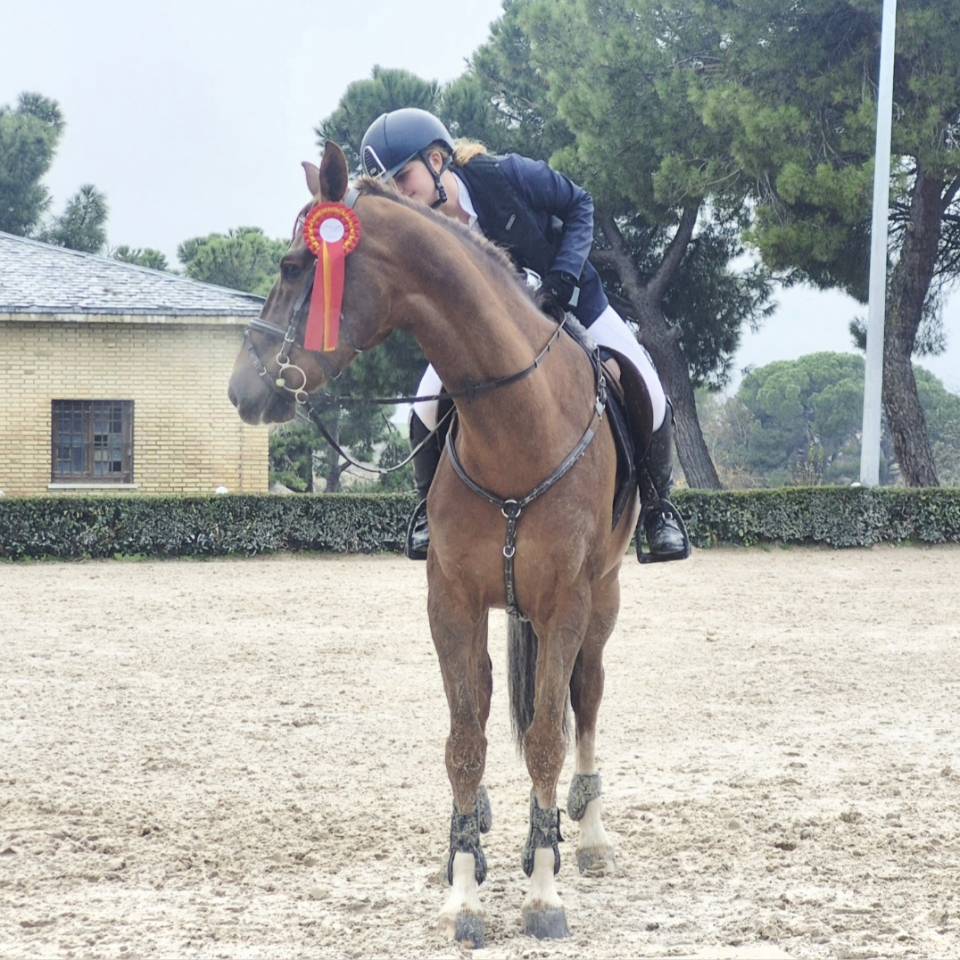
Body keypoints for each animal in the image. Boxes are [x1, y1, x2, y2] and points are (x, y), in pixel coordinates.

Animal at [228, 141, 642, 945]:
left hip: (603, 599)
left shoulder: (566, 601)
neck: (516, 424)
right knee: (485, 710)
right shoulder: (450, 599)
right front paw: (463, 889)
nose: (244, 390)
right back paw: (481, 833)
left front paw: (543, 892)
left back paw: (590, 836)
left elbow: (546, 736)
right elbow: (465, 740)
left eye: (295, 266)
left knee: (585, 698)